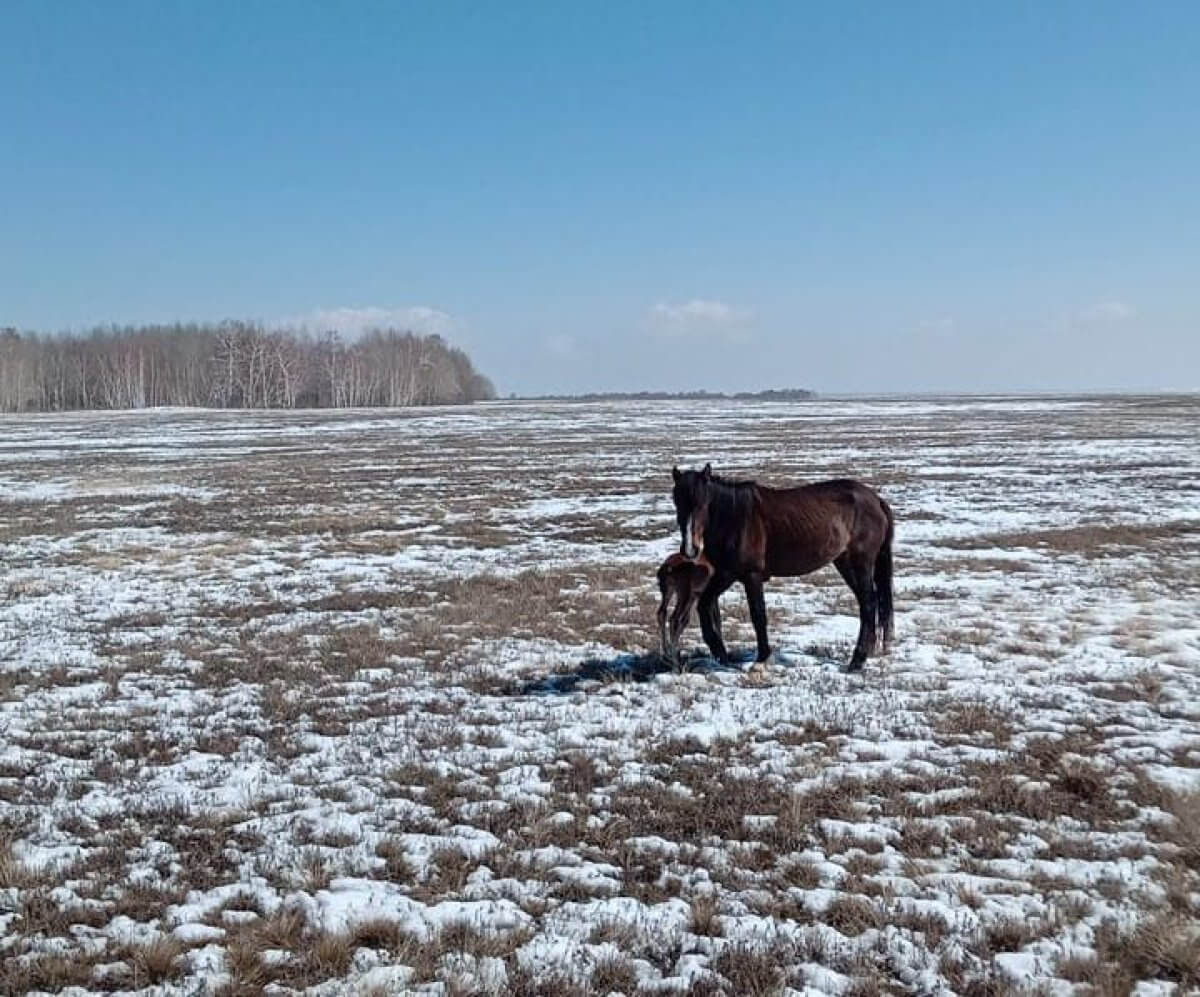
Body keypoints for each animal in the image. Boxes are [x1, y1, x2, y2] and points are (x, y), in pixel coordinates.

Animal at [676, 465, 892, 671]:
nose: (690, 549)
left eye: (703, 504)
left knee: (868, 604)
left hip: (861, 563)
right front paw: (721, 654)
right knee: (867, 604)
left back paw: (857, 661)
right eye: (677, 502)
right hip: (845, 563)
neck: (736, 519)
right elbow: (705, 606)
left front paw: (762, 659)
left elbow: (758, 615)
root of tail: (876, 500)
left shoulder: (749, 575)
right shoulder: (726, 574)